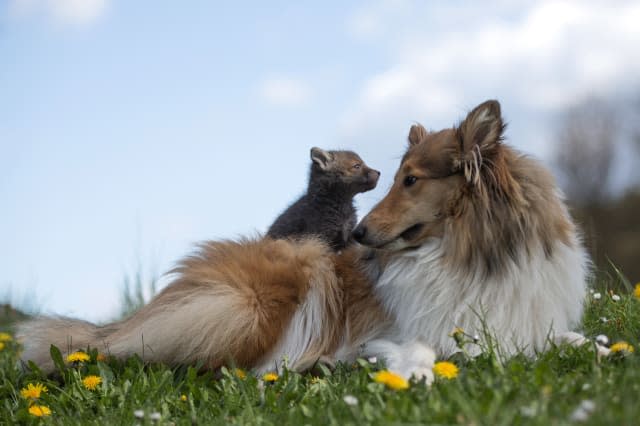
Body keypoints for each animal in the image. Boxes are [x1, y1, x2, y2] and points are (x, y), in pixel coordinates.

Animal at [18, 100, 592, 382]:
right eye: (396, 177)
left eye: (411, 180)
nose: (358, 236)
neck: (471, 254)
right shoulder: (401, 329)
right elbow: (426, 349)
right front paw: (411, 370)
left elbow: (575, 340)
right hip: (261, 293)